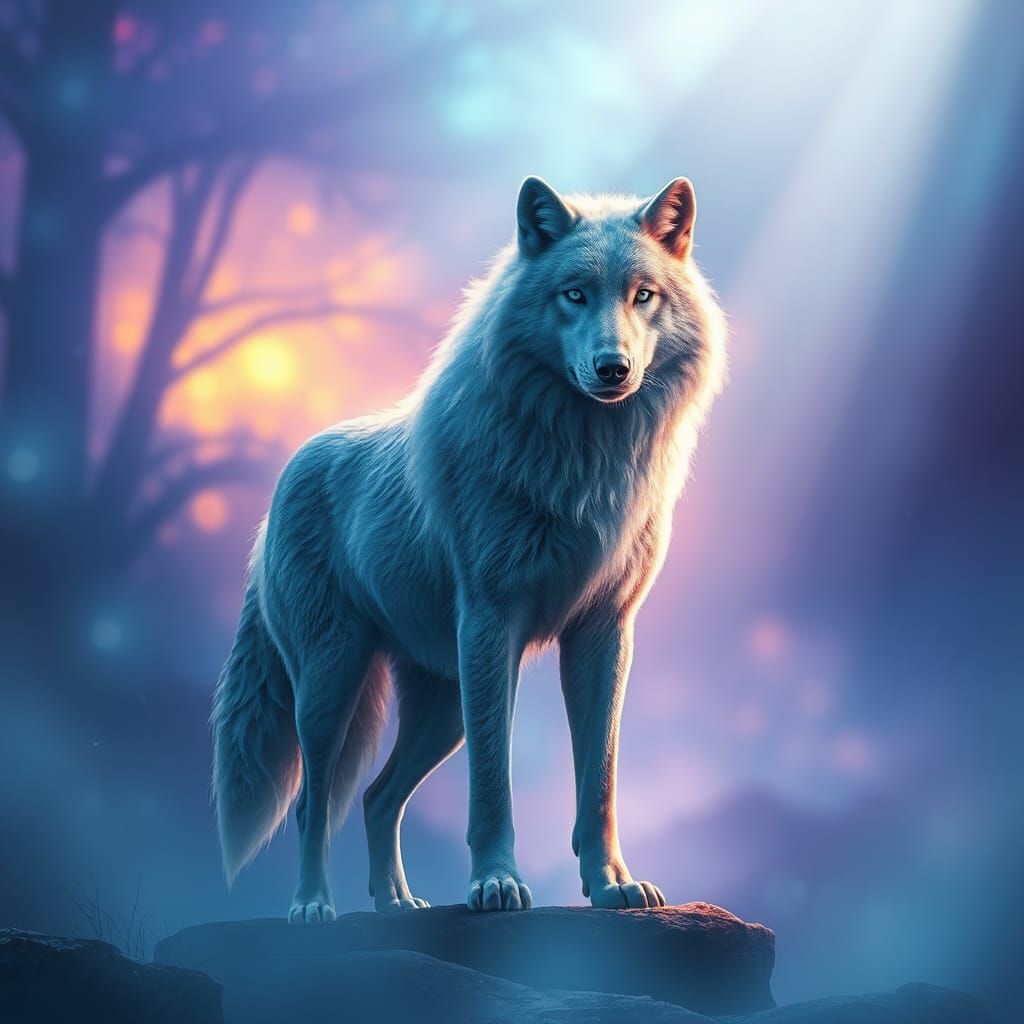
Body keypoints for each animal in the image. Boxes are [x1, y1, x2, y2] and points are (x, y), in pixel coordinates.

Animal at [211, 175, 727, 921]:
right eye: (574, 294)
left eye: (643, 295)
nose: (613, 367)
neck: (582, 464)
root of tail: (285, 478)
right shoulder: (490, 623)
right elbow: (493, 785)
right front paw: (496, 885)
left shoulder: (605, 632)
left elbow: (598, 781)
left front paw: (612, 885)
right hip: (334, 683)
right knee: (315, 802)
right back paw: (312, 907)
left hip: (441, 707)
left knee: (377, 797)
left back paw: (399, 906)